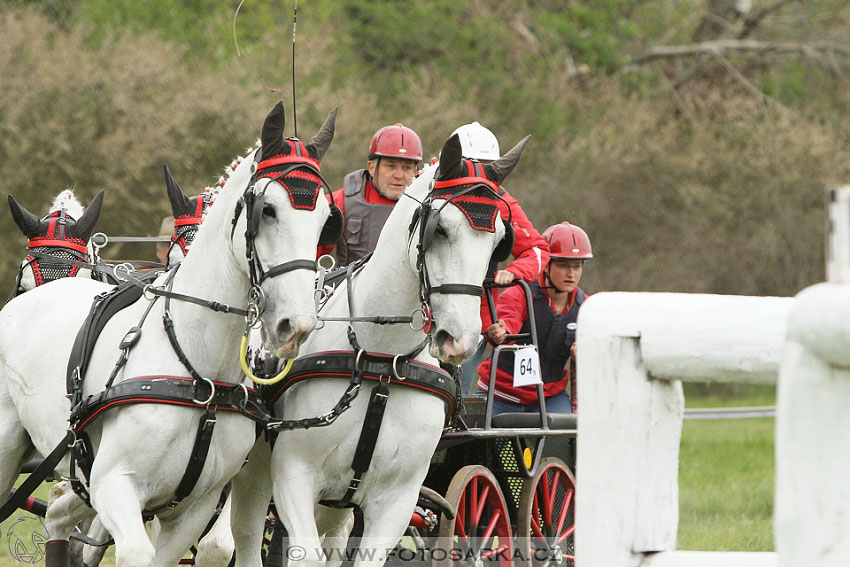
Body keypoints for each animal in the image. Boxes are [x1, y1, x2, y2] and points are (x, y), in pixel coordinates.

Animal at [0, 102, 338, 567]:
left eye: (325, 219)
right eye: (267, 210)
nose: (295, 324)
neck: (200, 372)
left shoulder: (195, 506)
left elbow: (213, 545)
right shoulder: (114, 485)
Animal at [229, 134, 528, 567]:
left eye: (499, 240)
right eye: (441, 230)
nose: (460, 338)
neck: (382, 360)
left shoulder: (397, 502)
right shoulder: (294, 476)